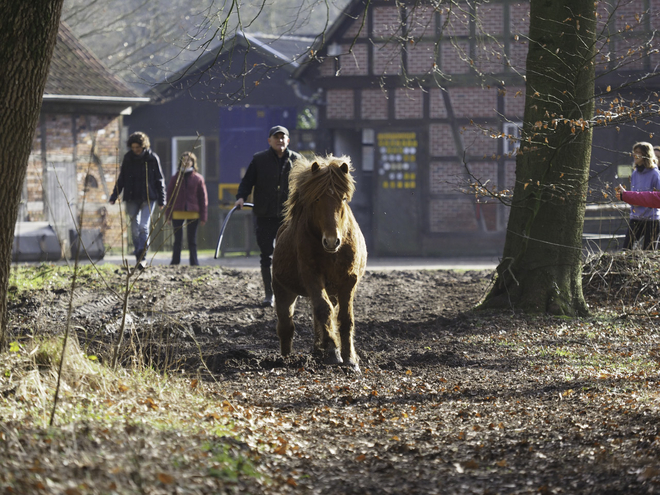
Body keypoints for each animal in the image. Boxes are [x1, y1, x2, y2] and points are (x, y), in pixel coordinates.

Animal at [270, 155, 368, 372]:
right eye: (316, 199)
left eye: (343, 198)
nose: (332, 241)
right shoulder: (312, 277)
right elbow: (324, 310)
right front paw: (333, 352)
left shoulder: (349, 281)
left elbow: (345, 318)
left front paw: (350, 359)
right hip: (283, 290)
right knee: (286, 324)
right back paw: (286, 357)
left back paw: (319, 349)